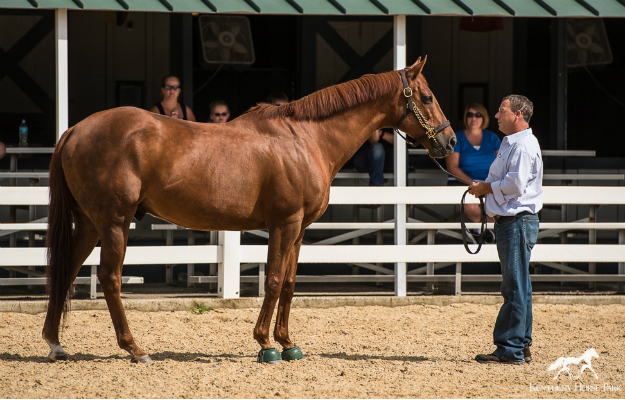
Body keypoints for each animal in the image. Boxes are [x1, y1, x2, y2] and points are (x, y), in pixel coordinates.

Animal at [42, 57, 454, 366]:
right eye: (427, 96)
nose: (450, 141)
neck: (305, 139)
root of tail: (74, 130)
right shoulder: (283, 224)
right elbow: (272, 280)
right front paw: (265, 344)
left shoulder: (299, 229)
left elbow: (288, 283)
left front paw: (288, 343)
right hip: (114, 223)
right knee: (109, 278)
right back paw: (134, 348)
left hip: (90, 224)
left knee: (66, 269)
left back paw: (55, 343)